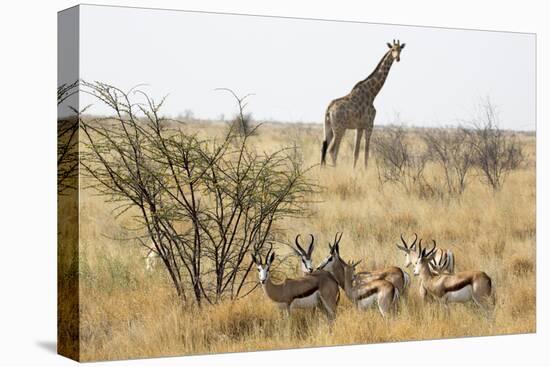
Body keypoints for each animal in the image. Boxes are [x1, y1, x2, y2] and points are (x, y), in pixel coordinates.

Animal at [322, 39, 408, 170]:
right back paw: (334, 170)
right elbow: (366, 152)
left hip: (329, 128)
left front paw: (354, 170)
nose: (397, 58)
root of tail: (329, 109)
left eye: (400, 49)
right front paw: (365, 170)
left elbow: (356, 152)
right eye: (393, 49)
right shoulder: (369, 125)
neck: (372, 94)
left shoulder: (359, 127)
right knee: (332, 150)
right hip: (339, 128)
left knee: (325, 149)